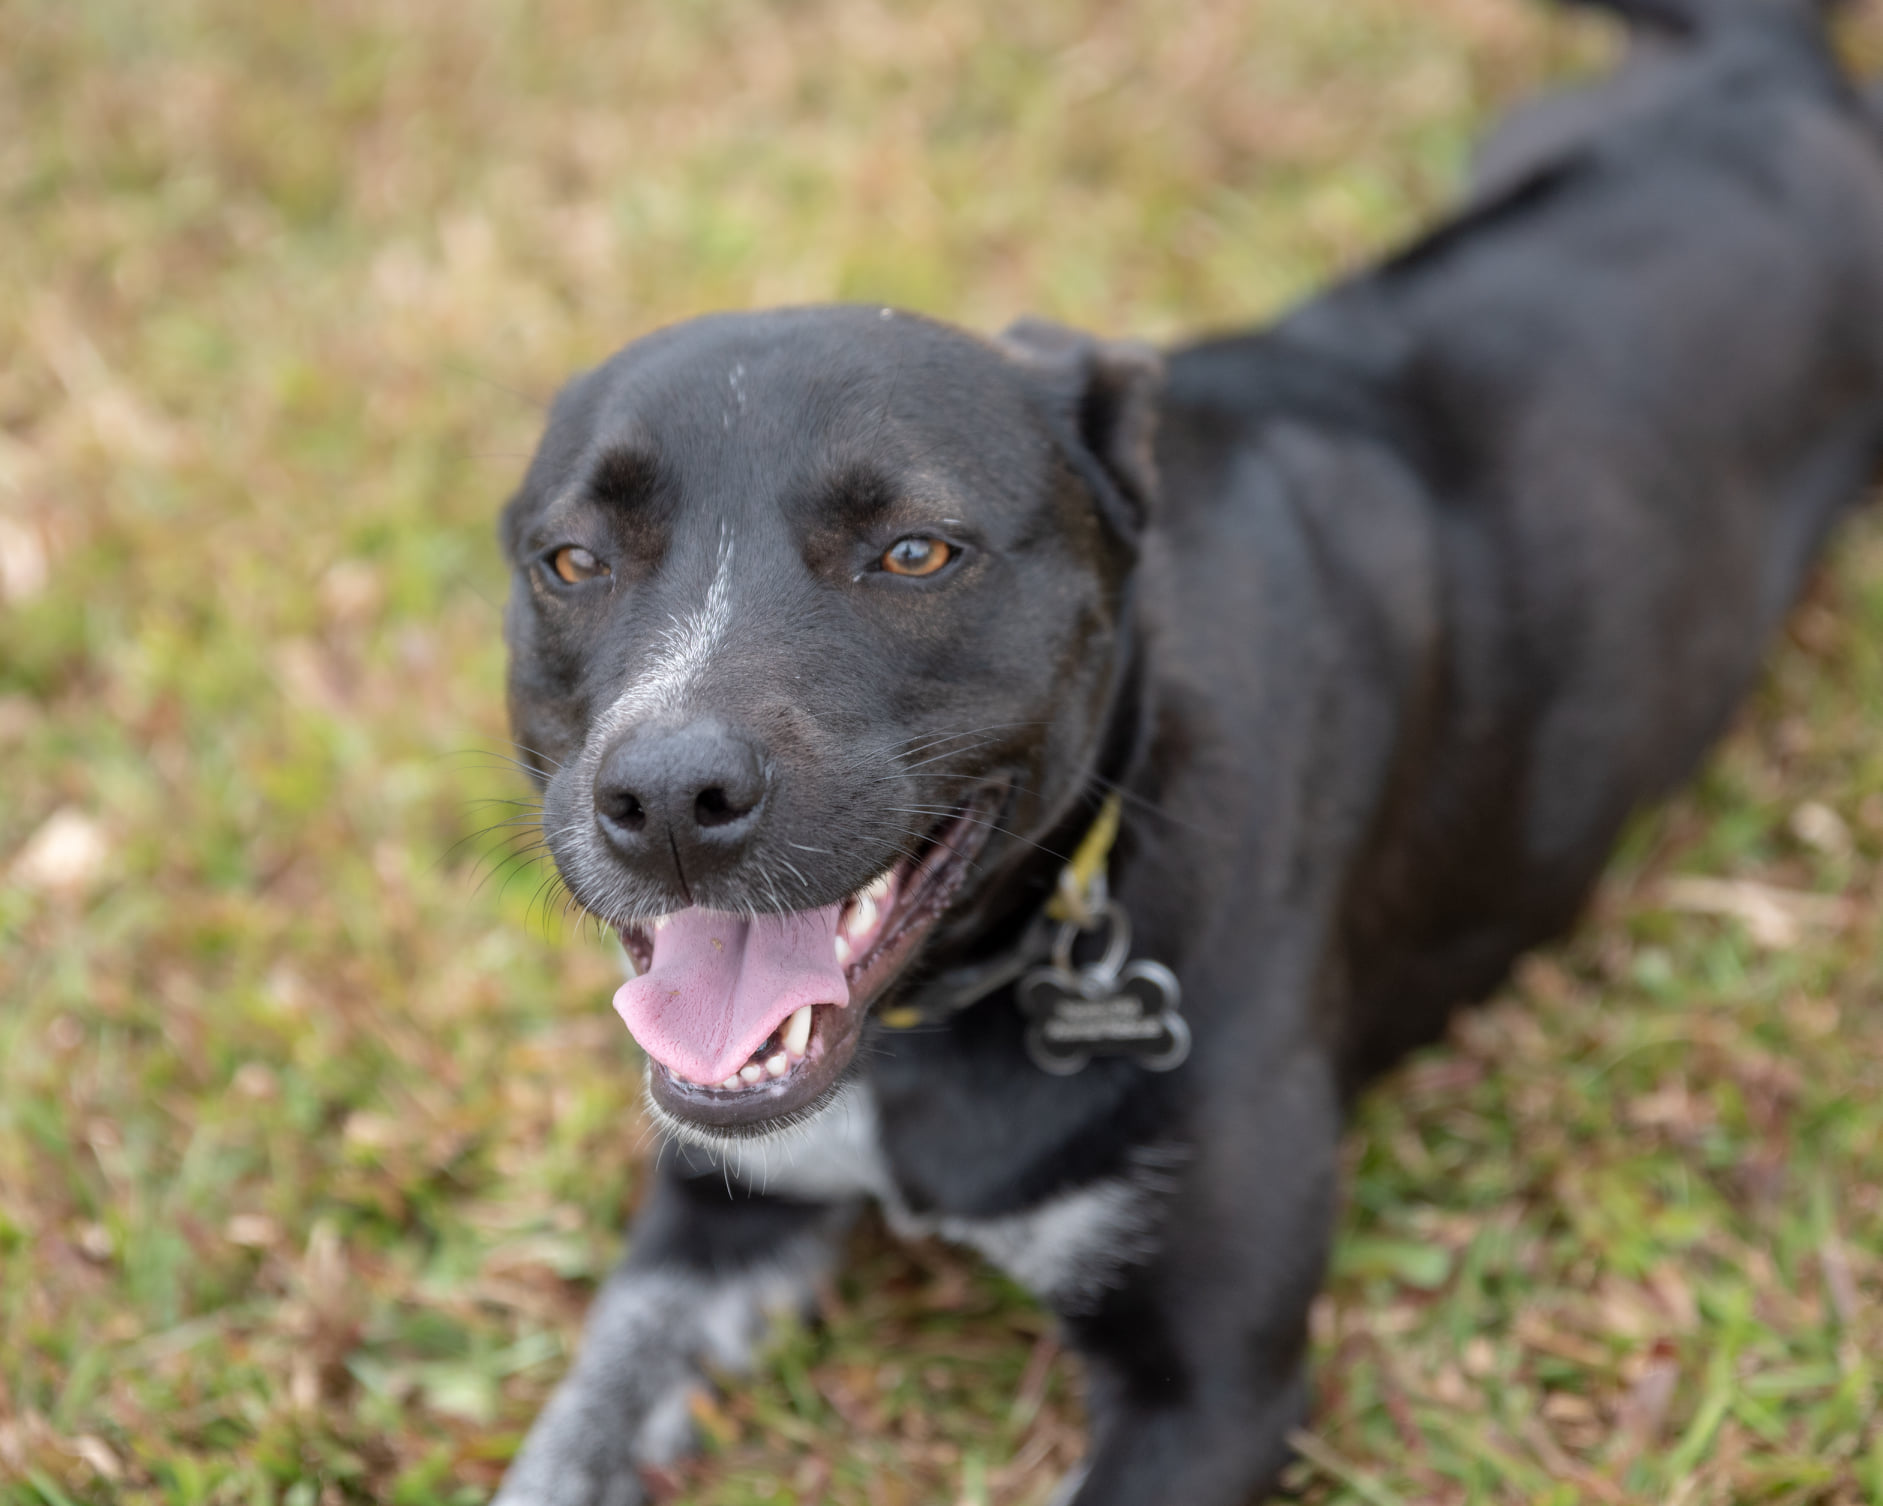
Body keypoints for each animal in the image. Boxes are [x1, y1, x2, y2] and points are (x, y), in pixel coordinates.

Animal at [489, 5, 1883, 1498]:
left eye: (913, 551)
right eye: (573, 561)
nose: (665, 800)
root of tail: (1760, 66)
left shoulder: (1209, 1388)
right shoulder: (709, 1215)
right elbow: (571, 1432)